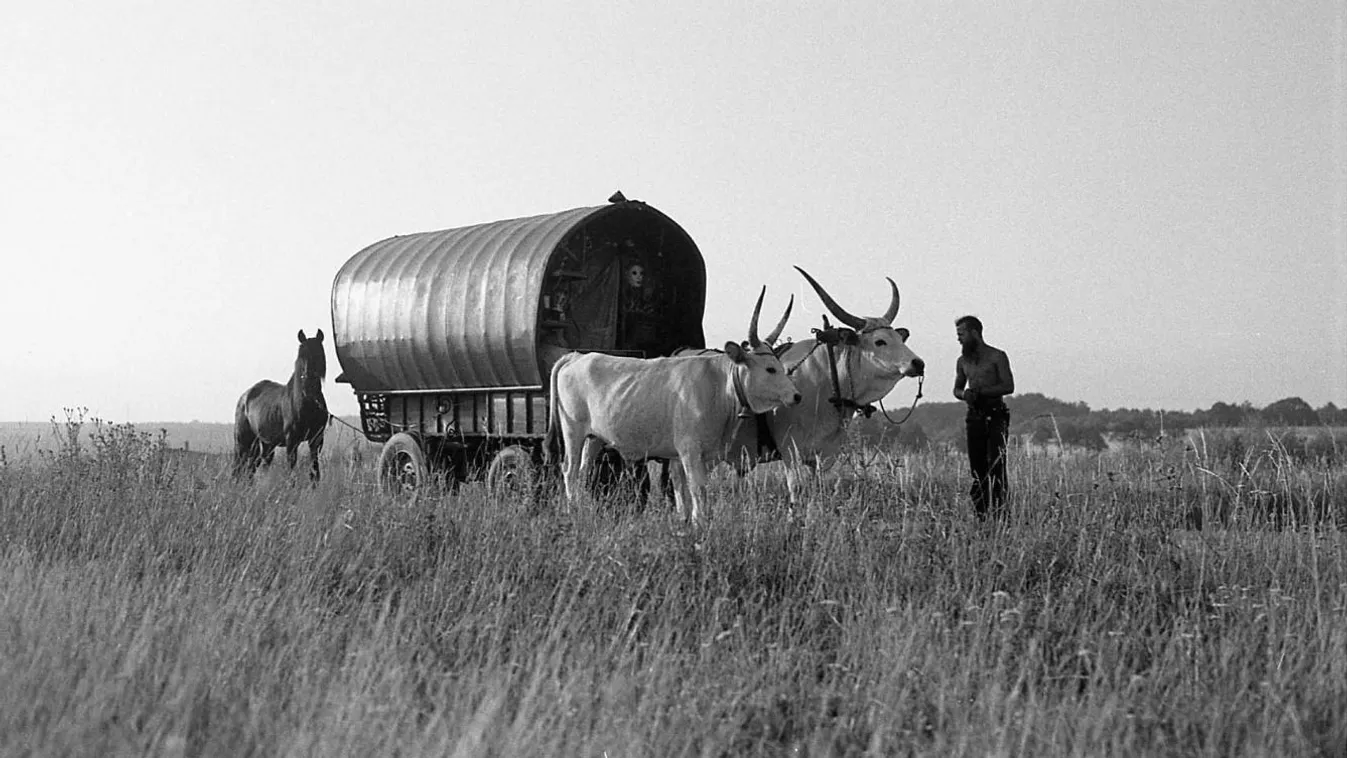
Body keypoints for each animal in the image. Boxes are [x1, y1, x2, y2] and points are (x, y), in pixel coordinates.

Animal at [234, 329, 328, 484]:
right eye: (301, 355)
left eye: (319, 353)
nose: (308, 384)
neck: (305, 404)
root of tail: (244, 397)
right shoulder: (291, 441)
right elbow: (291, 469)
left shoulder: (316, 440)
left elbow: (315, 471)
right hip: (243, 441)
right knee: (239, 466)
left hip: (265, 444)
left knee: (253, 467)